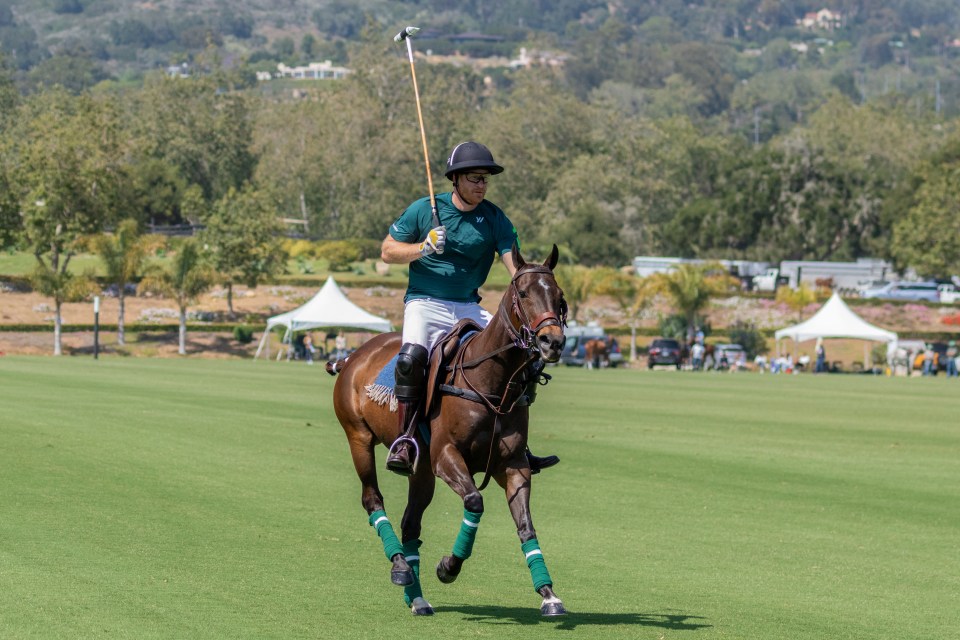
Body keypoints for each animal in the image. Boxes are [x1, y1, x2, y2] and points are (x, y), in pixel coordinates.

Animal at [326, 244, 568, 616]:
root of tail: (353, 356)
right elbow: (475, 501)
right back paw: (400, 566)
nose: (551, 342)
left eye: (559, 296)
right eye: (524, 293)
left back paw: (415, 594)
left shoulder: (513, 465)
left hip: (422, 468)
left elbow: (526, 526)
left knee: (410, 522)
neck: (492, 384)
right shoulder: (446, 456)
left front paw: (549, 594)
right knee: (372, 499)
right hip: (359, 438)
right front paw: (448, 567)